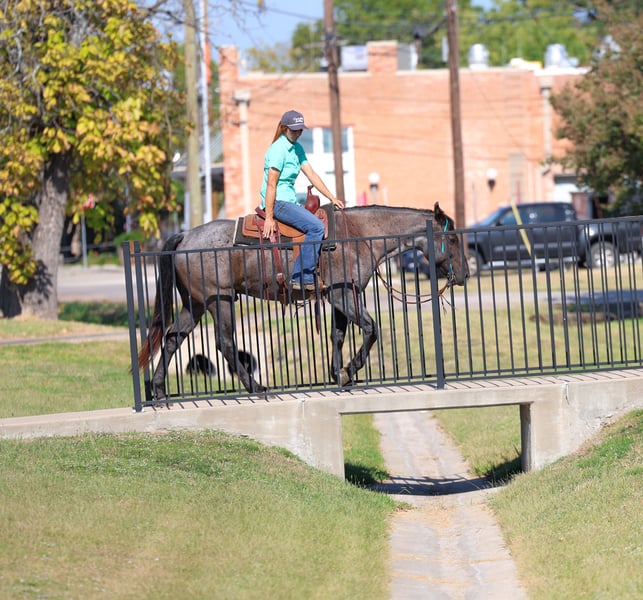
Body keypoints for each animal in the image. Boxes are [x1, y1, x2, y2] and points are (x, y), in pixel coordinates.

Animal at [137, 202, 468, 398]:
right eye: (452, 239)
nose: (464, 273)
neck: (359, 235)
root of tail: (185, 236)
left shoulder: (340, 297)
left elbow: (338, 335)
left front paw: (339, 374)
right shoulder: (343, 295)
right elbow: (371, 328)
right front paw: (350, 369)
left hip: (195, 303)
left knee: (172, 337)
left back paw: (159, 390)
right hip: (220, 301)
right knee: (225, 343)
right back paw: (255, 386)